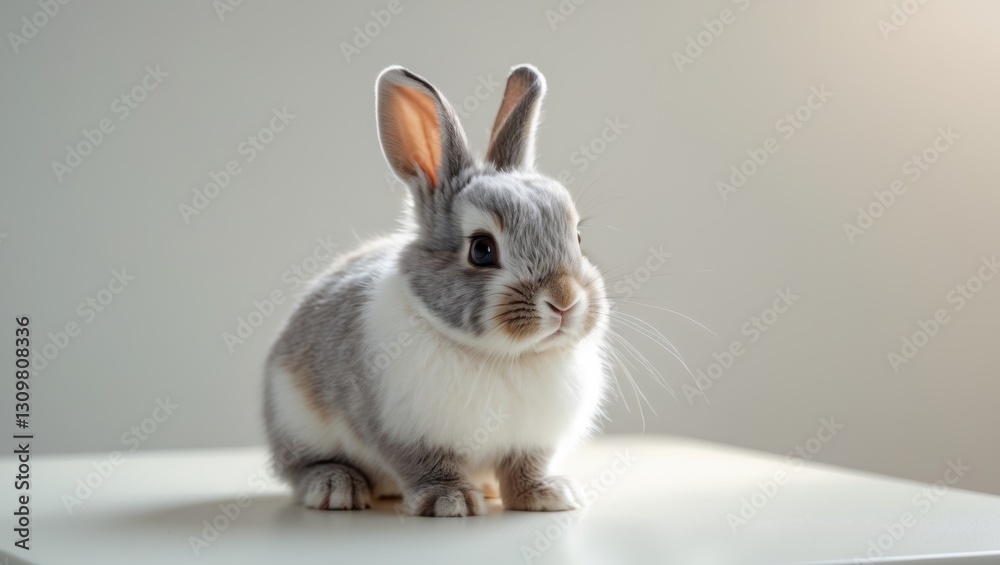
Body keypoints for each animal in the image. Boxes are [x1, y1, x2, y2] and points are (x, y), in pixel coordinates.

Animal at [263, 64, 610, 517]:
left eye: (578, 237)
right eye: (481, 250)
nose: (565, 302)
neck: (503, 356)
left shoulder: (531, 441)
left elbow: (525, 468)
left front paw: (547, 495)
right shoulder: (404, 432)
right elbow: (426, 465)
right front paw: (450, 501)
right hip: (294, 421)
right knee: (301, 467)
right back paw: (335, 487)